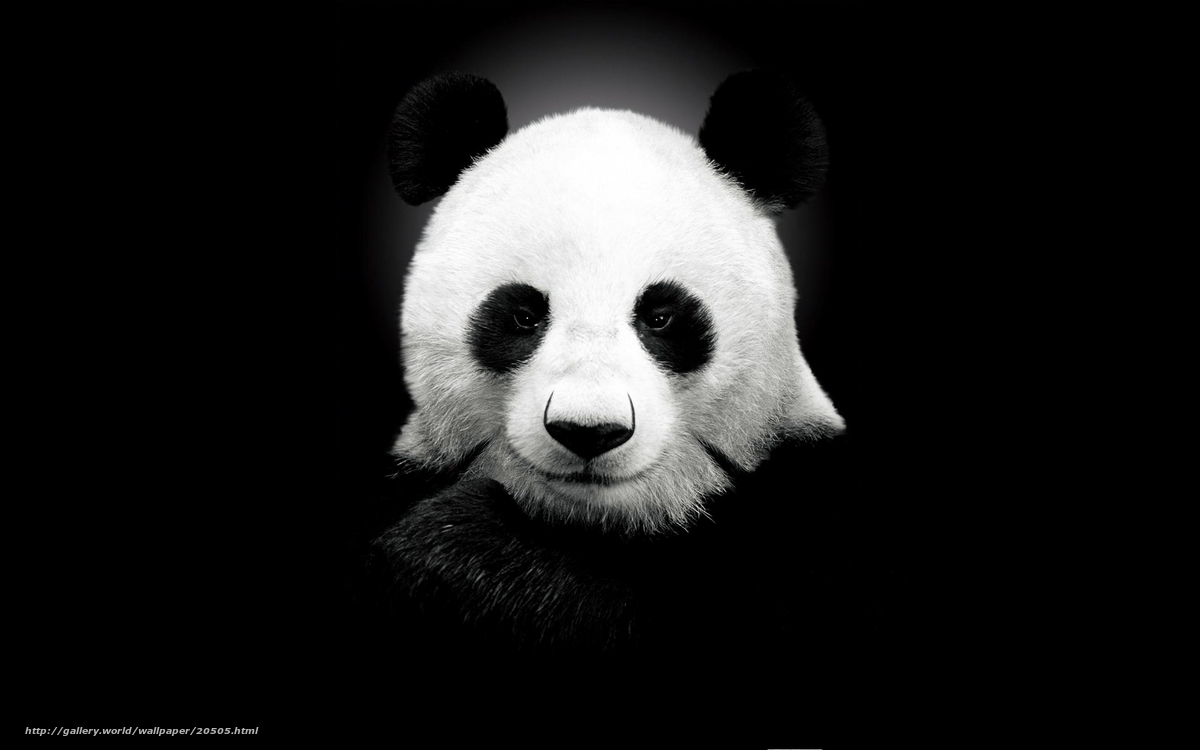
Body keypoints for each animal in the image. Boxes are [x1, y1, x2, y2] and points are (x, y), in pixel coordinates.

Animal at [361, 71, 877, 669]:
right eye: (523, 315)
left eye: (661, 316)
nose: (589, 431)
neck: (598, 523)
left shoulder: (808, 512)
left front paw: (457, 549)